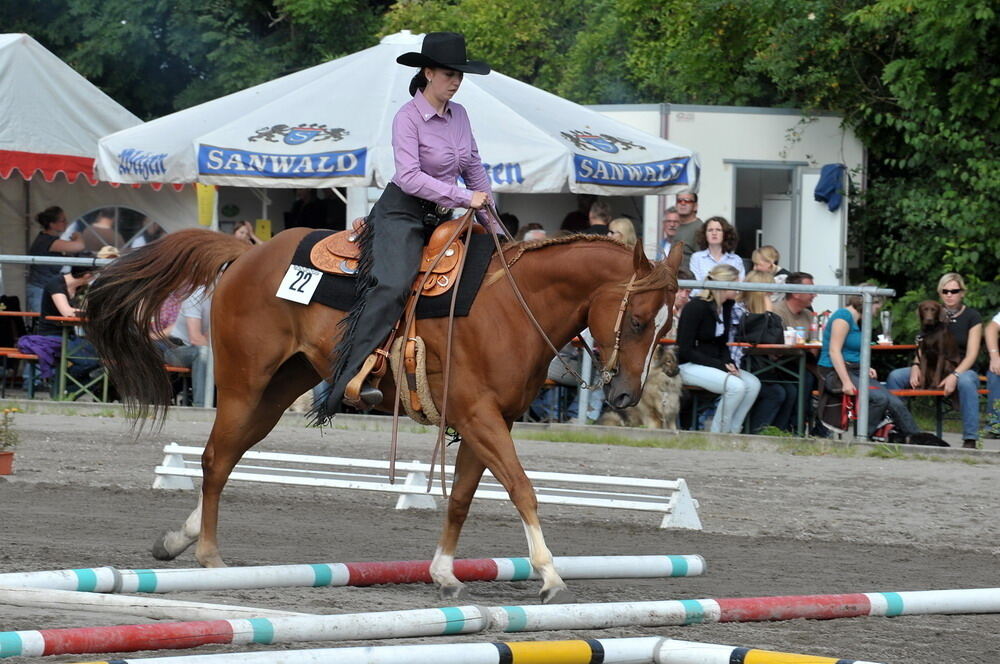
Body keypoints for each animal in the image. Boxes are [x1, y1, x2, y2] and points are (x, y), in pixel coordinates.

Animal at [86, 227, 684, 600]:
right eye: (637, 321)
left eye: (665, 325)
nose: (626, 397)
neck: (512, 307)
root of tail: (246, 252)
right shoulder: (480, 416)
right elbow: (522, 488)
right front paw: (550, 574)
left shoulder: (489, 421)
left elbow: (462, 498)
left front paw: (443, 572)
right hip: (243, 383)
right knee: (213, 458)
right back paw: (209, 556)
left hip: (280, 390)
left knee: (228, 455)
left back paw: (180, 539)